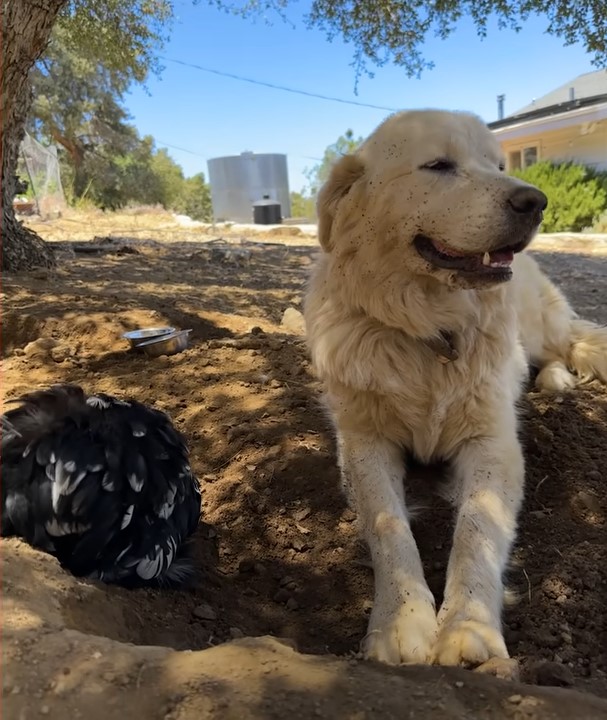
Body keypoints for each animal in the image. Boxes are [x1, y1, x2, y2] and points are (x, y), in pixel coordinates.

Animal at [306, 109, 604, 672]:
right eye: (439, 166)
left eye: (498, 165)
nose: (534, 201)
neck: (430, 332)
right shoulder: (363, 443)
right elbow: (389, 528)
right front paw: (401, 623)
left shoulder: (492, 445)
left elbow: (476, 530)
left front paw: (468, 628)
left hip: (542, 325)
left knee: (567, 343)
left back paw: (558, 379)